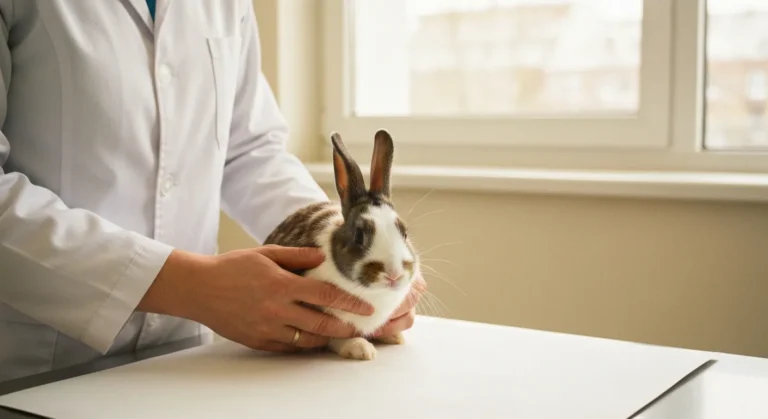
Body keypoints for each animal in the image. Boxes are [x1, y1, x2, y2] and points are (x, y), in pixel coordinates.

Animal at [263, 129, 420, 360]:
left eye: (405, 232)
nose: (394, 274)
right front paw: (361, 349)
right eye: (359, 236)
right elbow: (335, 337)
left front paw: (394, 336)